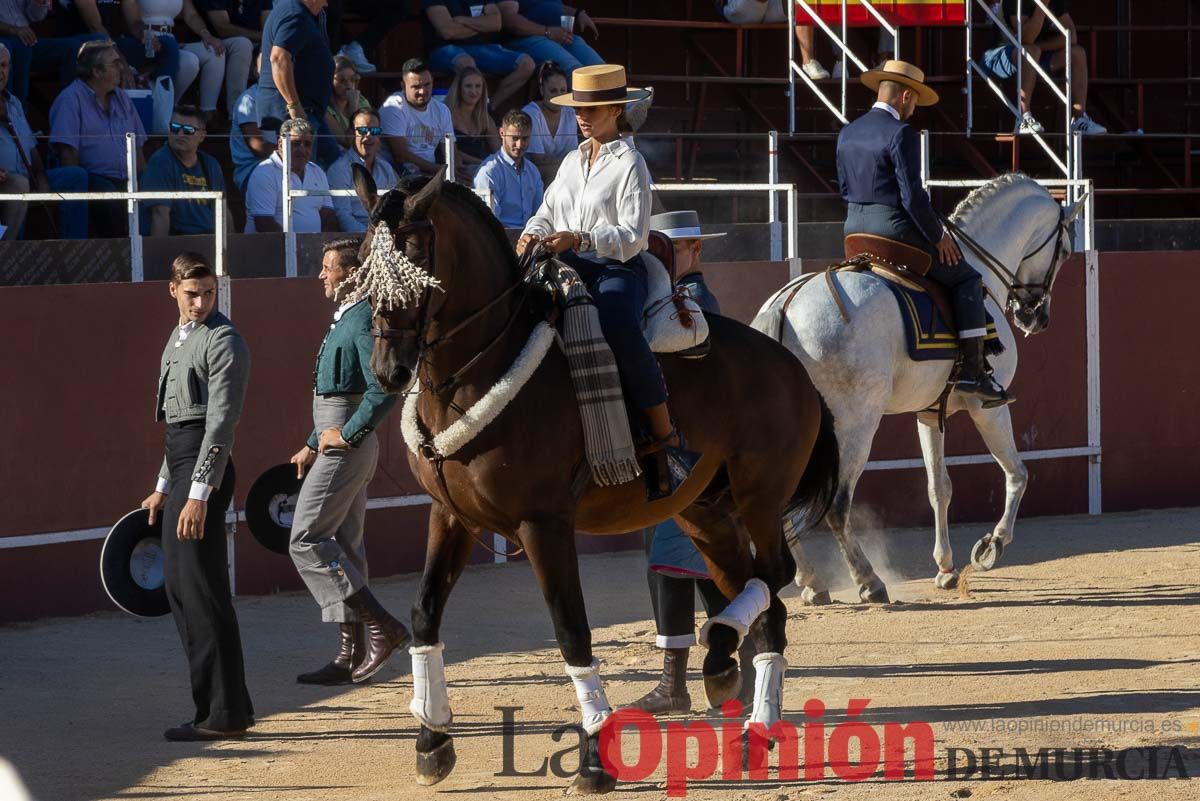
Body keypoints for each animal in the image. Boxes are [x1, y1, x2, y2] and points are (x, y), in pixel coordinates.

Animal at [348, 165, 835, 791]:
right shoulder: (450, 516)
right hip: (705, 513)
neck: (485, 368)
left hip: (760, 496)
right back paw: (743, 701)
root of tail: (790, 364)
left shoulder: (544, 524)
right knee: (759, 595)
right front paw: (432, 741)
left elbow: (571, 629)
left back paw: (745, 700)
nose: (388, 370)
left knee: (774, 576)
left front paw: (595, 759)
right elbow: (424, 613)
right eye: (365, 261)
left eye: (414, 261)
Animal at [758, 175, 1089, 599]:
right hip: (855, 425)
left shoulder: (930, 412)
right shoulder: (990, 408)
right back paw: (869, 581)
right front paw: (991, 546)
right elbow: (1018, 473)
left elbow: (939, 486)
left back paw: (814, 582)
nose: (1035, 316)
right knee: (838, 503)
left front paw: (946, 567)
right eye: (1064, 251)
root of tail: (785, 305)